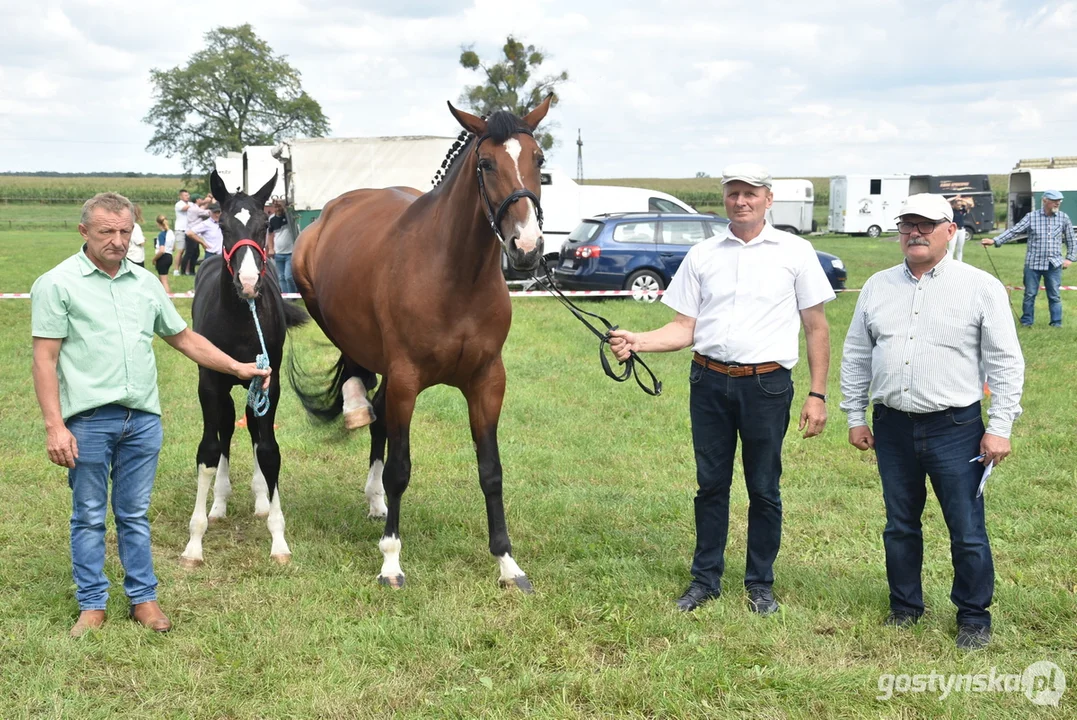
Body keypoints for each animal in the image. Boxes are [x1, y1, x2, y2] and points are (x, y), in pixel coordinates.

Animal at [179, 170, 308, 568]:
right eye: (222, 225)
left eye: (265, 224)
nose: (249, 283)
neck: (240, 318)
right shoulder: (209, 384)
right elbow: (208, 451)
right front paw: (194, 542)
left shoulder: (269, 381)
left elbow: (268, 450)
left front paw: (278, 539)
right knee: (225, 429)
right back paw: (219, 503)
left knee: (250, 426)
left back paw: (261, 498)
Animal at [290, 95, 551, 589]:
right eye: (486, 163)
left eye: (539, 159)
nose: (526, 247)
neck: (455, 275)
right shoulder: (408, 379)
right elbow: (400, 469)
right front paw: (391, 562)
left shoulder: (487, 382)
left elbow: (491, 471)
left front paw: (507, 563)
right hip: (336, 320)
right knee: (361, 380)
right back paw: (355, 408)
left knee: (380, 418)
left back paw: (375, 499)